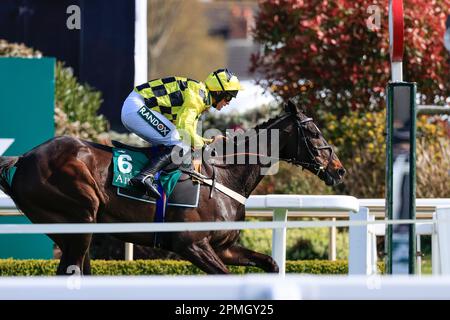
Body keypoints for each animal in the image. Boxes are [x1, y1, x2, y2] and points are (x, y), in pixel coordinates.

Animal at [0, 101, 344, 274]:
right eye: (314, 133)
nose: (338, 170)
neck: (223, 178)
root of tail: (23, 158)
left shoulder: (224, 247)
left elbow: (271, 263)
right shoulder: (191, 245)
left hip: (66, 231)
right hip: (80, 219)